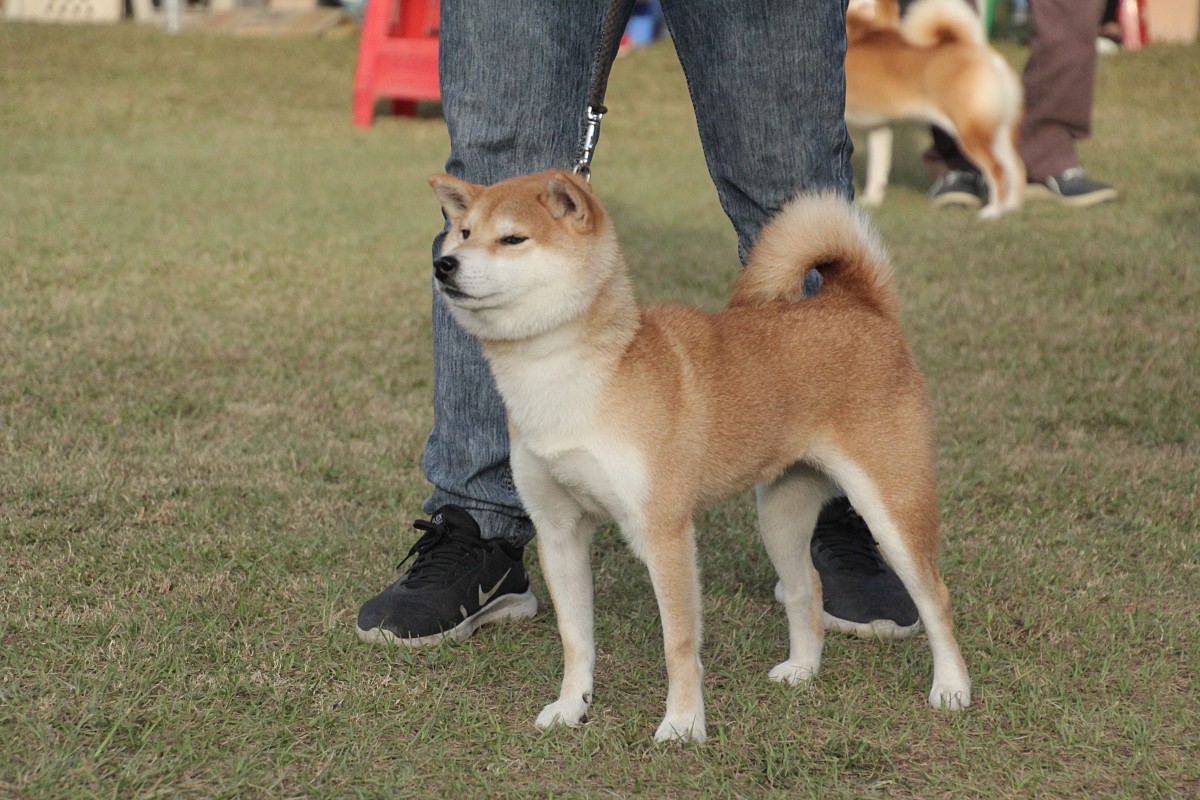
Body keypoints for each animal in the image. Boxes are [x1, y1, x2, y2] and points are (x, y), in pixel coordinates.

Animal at [427, 169, 969, 743]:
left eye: (513, 239)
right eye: (463, 232)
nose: (445, 264)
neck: (567, 376)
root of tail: (860, 305)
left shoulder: (664, 533)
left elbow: (679, 643)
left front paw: (684, 723)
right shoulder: (559, 530)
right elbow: (575, 637)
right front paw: (572, 706)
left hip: (892, 508)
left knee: (935, 598)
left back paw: (952, 688)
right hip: (780, 515)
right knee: (808, 588)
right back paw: (803, 669)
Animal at [844, 0, 1022, 217]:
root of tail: (975, 48)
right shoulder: (879, 127)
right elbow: (878, 168)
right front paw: (872, 200)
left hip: (969, 132)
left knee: (998, 170)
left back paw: (993, 212)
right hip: (998, 131)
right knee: (1016, 168)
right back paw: (1011, 209)